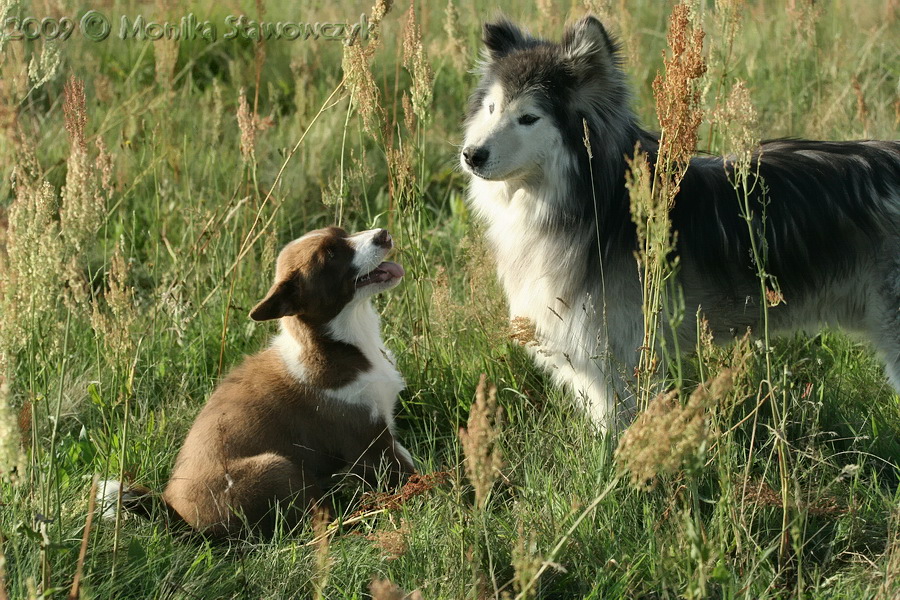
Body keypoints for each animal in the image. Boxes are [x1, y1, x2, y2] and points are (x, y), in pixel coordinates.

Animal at [100, 227, 416, 536]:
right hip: (276, 468)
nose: (384, 234)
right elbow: (411, 471)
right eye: (331, 254)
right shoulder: (369, 442)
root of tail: (179, 521)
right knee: (317, 522)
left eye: (343, 232)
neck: (333, 342)